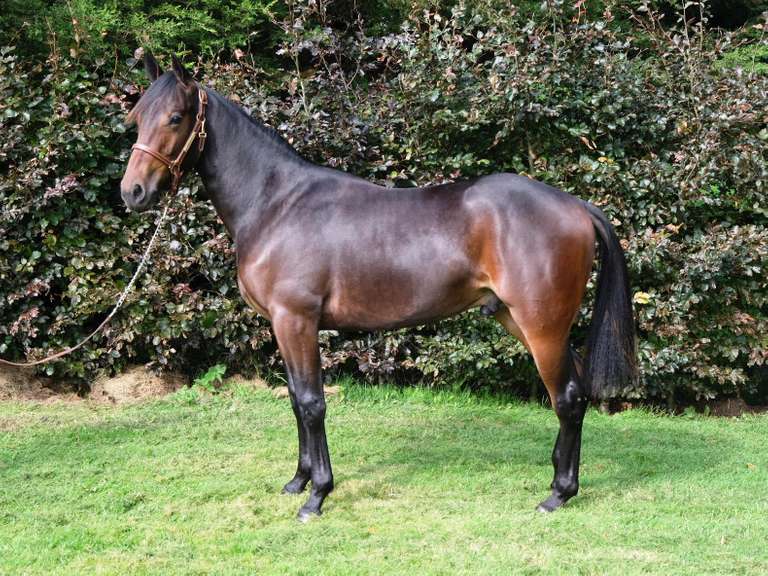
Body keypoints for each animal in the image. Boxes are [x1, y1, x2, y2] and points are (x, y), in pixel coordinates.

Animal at [120, 54, 637, 520]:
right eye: (137, 118)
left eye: (175, 117)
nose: (132, 192)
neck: (276, 204)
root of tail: (575, 206)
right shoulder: (282, 327)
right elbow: (295, 401)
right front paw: (297, 481)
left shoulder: (297, 321)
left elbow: (312, 404)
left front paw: (317, 496)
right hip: (523, 321)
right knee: (575, 393)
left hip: (542, 326)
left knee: (566, 398)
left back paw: (558, 494)